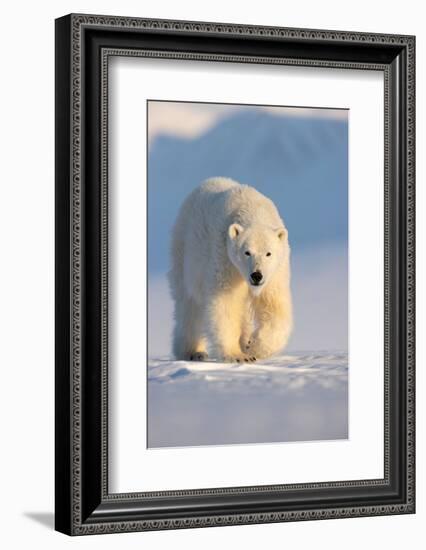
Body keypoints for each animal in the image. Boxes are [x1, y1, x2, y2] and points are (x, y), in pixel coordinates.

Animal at [168, 179, 292, 364]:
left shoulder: (276, 272)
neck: (253, 209)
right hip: (185, 253)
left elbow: (274, 305)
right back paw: (193, 351)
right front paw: (239, 355)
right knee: (189, 305)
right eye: (246, 252)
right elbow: (226, 302)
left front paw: (253, 346)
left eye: (268, 253)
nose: (256, 275)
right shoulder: (225, 258)